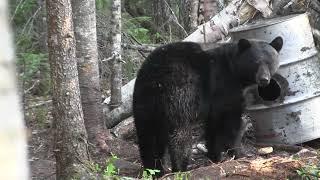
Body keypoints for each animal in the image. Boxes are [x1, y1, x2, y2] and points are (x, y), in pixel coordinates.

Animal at [132, 37, 282, 174]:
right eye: (255, 62)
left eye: (270, 62)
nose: (264, 79)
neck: (233, 69)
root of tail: (155, 77)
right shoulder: (224, 88)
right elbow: (229, 122)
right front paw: (238, 154)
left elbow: (212, 126)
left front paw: (215, 157)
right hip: (178, 95)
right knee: (179, 135)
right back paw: (180, 168)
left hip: (144, 104)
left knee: (148, 138)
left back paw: (154, 170)